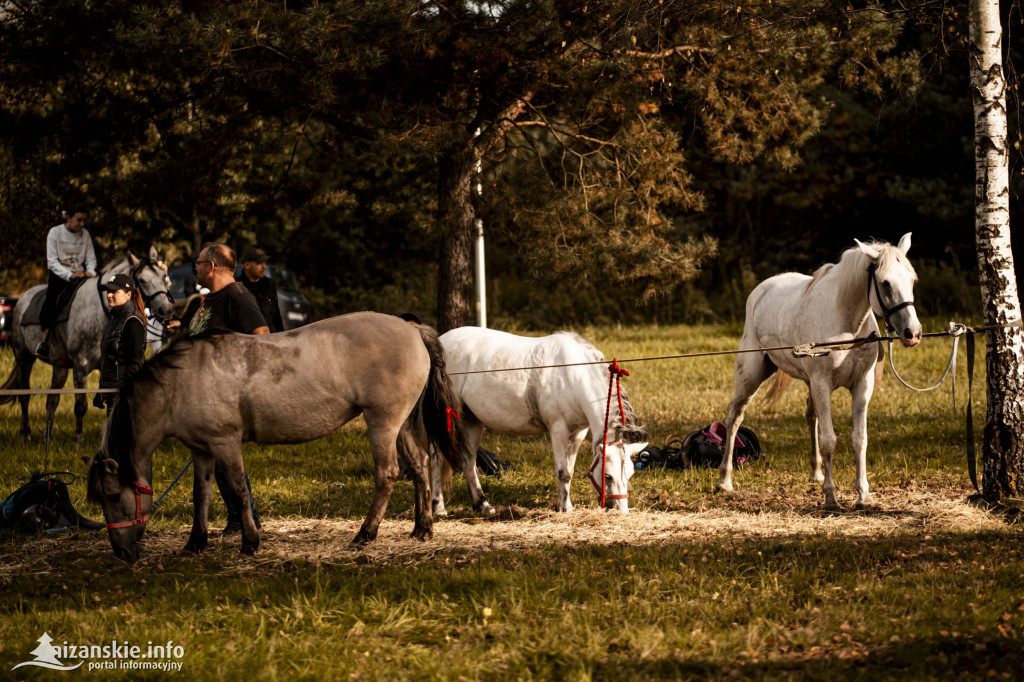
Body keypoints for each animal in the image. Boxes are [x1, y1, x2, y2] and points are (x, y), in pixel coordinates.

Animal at [0, 246, 174, 444]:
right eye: (143, 280)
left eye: (164, 276)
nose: (167, 310)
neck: (100, 312)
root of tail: (22, 299)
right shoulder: (81, 367)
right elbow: (81, 405)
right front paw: (78, 439)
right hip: (24, 358)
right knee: (24, 395)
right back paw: (25, 433)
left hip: (59, 366)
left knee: (52, 400)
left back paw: (48, 436)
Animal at [88, 311, 468, 561]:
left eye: (113, 495)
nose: (121, 552)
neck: (180, 382)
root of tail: (413, 329)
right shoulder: (201, 449)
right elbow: (202, 494)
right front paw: (195, 542)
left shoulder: (225, 443)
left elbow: (238, 491)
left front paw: (249, 543)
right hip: (400, 425)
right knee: (419, 465)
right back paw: (422, 528)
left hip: (382, 423)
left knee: (387, 475)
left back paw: (365, 534)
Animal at [434, 327, 647, 509]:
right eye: (608, 476)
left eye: (630, 474)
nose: (620, 510)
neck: (574, 376)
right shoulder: (558, 428)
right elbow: (563, 471)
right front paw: (565, 508)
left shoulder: (578, 432)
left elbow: (569, 470)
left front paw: (562, 504)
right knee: (436, 460)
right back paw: (439, 507)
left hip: (471, 421)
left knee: (468, 462)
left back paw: (482, 505)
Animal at [716, 231, 925, 507]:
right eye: (885, 283)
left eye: (912, 280)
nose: (913, 333)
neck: (846, 325)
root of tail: (761, 290)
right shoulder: (822, 382)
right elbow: (829, 441)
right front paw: (831, 497)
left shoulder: (862, 386)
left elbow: (860, 440)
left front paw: (862, 495)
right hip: (751, 376)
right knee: (735, 415)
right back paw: (724, 480)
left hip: (808, 383)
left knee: (810, 415)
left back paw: (815, 473)